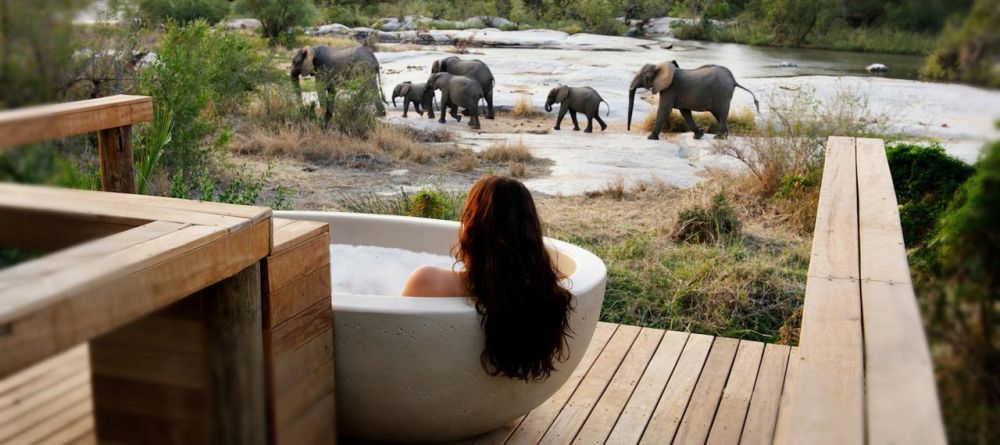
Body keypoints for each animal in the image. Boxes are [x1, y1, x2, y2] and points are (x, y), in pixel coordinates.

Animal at [624, 60, 756, 140]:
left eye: (642, 77)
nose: (628, 130)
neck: (660, 66)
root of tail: (733, 80)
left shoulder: (670, 89)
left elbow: (664, 109)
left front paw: (650, 138)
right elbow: (685, 112)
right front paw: (699, 135)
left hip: (721, 94)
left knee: (721, 113)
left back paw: (719, 138)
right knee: (719, 114)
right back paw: (724, 136)